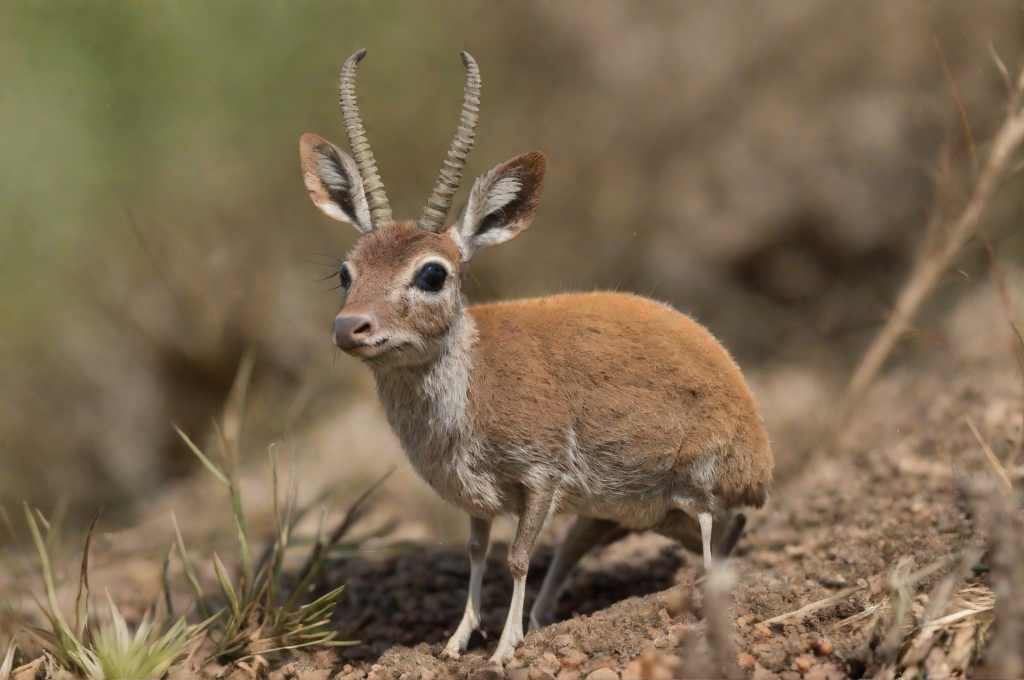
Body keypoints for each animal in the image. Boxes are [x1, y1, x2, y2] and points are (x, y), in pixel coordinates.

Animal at [299, 50, 770, 667]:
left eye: (432, 273)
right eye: (345, 271)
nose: (350, 327)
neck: (470, 381)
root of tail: (760, 449)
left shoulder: (541, 478)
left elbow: (517, 558)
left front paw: (502, 651)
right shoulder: (475, 500)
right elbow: (477, 554)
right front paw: (456, 642)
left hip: (696, 489)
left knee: (718, 530)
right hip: (631, 508)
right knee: (602, 542)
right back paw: (547, 618)